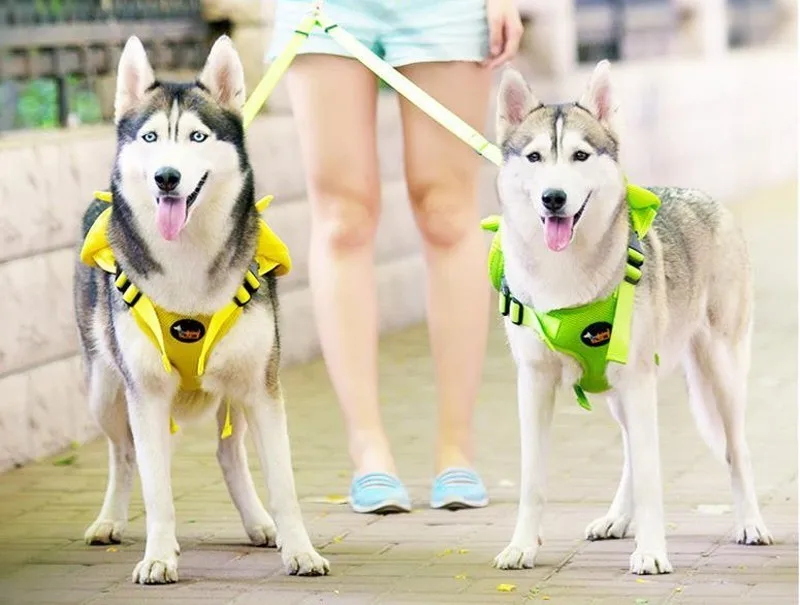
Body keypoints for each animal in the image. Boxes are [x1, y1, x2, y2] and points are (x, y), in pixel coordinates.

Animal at [72, 35, 328, 584]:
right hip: (104, 388)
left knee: (228, 453)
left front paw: (300, 550)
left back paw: (259, 523)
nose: (167, 178)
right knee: (124, 453)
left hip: (235, 390)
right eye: (149, 137)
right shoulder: (145, 394)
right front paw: (159, 556)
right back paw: (110, 520)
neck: (187, 260)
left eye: (197, 136)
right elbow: (157, 489)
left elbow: (284, 485)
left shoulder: (263, 388)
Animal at [490, 61, 772, 576]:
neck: (565, 278)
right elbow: (532, 480)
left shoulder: (638, 381)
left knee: (735, 449)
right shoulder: (535, 382)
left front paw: (652, 551)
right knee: (628, 452)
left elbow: (651, 477)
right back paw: (617, 519)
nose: (553, 198)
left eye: (580, 155)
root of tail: (706, 198)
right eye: (535, 157)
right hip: (619, 390)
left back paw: (750, 523)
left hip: (719, 371)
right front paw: (522, 546)